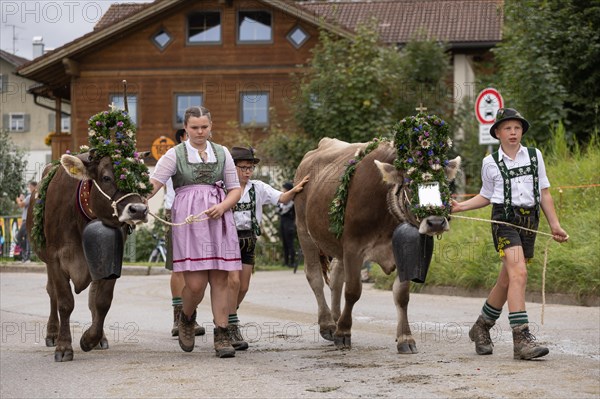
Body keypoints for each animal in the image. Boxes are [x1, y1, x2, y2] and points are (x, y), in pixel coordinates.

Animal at [27, 103, 151, 362]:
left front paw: (89, 339)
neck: (83, 218)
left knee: (93, 298)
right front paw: (64, 346)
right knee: (51, 293)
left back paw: (100, 337)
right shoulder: (56, 259)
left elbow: (101, 302)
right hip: (45, 257)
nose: (138, 210)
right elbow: (65, 302)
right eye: (105, 177)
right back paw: (52, 333)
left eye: (142, 177)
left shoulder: (110, 258)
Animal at [294, 111, 460, 354]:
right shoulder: (353, 247)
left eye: (445, 185)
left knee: (336, 277)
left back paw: (335, 319)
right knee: (314, 276)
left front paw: (405, 338)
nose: (436, 222)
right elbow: (353, 291)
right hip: (304, 232)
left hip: (337, 243)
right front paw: (344, 333)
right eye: (409, 184)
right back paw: (328, 325)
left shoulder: (403, 250)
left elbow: (402, 294)